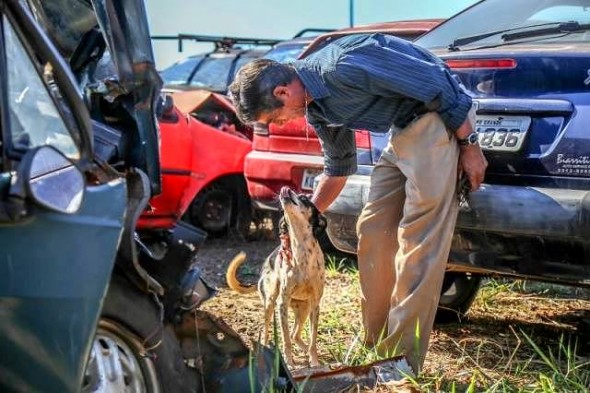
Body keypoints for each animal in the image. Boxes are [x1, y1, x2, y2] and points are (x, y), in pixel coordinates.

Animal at [227, 185, 328, 366]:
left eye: (304, 198)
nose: (285, 188)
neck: (301, 252)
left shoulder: (316, 305)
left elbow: (313, 340)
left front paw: (314, 361)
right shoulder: (282, 304)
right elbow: (286, 339)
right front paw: (289, 362)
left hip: (304, 309)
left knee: (295, 335)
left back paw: (306, 350)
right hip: (270, 304)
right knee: (267, 332)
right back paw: (265, 352)